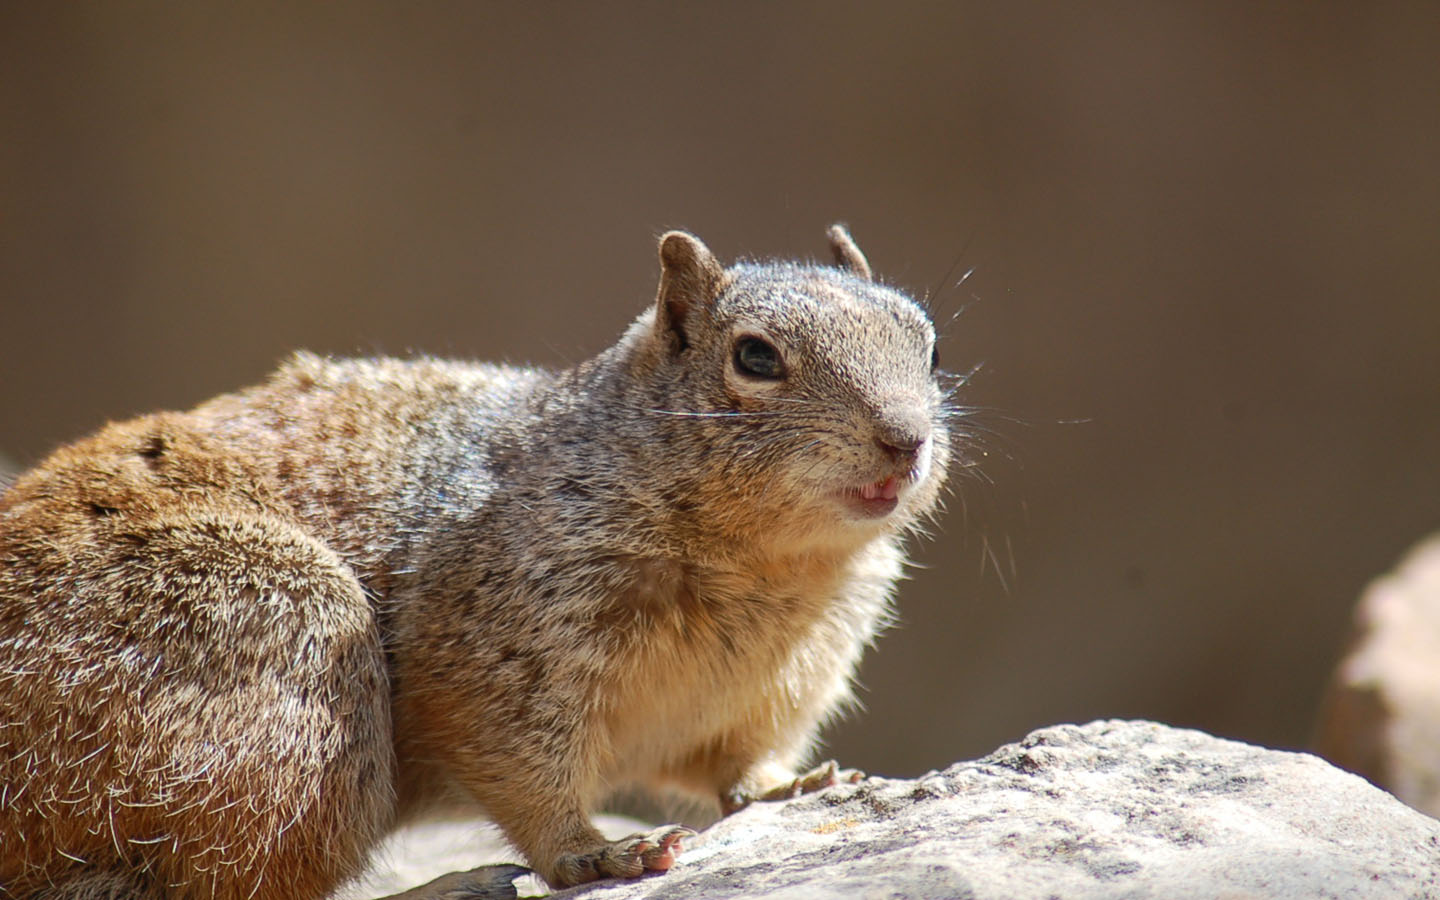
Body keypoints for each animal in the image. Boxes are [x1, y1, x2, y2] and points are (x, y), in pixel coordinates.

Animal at [0, 226, 956, 898]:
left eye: (930, 345)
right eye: (755, 357)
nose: (905, 439)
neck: (768, 565)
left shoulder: (770, 691)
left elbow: (737, 766)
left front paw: (793, 786)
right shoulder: (498, 644)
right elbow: (519, 766)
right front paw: (597, 854)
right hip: (284, 646)